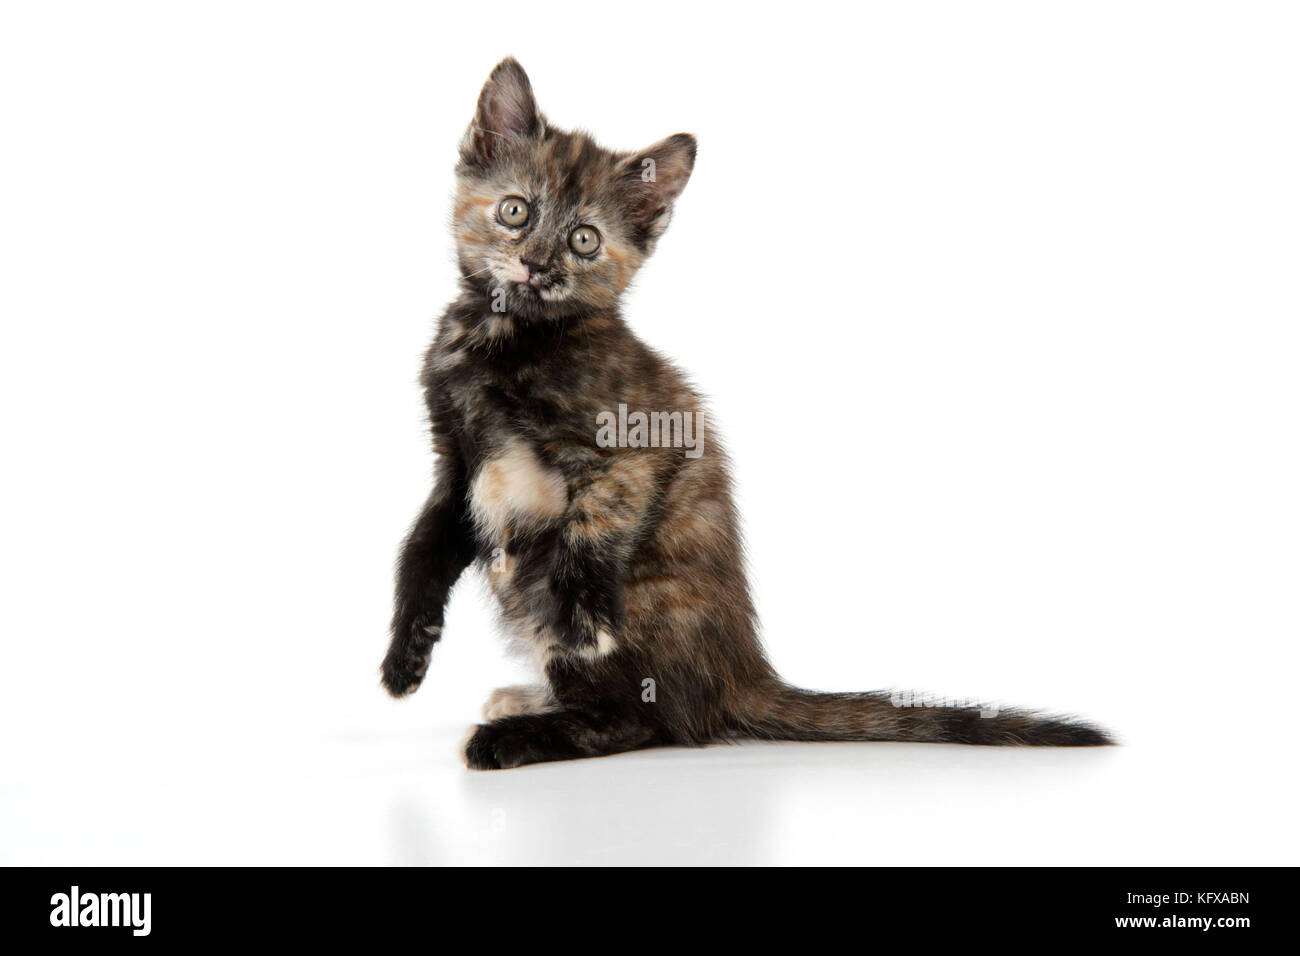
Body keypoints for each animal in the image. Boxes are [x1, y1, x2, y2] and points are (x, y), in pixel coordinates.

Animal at [379, 59, 1112, 764]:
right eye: (515, 211)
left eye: (584, 240)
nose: (535, 264)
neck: (508, 339)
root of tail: (743, 676)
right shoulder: (458, 461)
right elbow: (421, 546)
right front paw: (404, 655)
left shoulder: (635, 443)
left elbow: (591, 525)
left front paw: (581, 622)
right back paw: (526, 699)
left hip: (640, 601)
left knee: (645, 721)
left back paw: (516, 735)